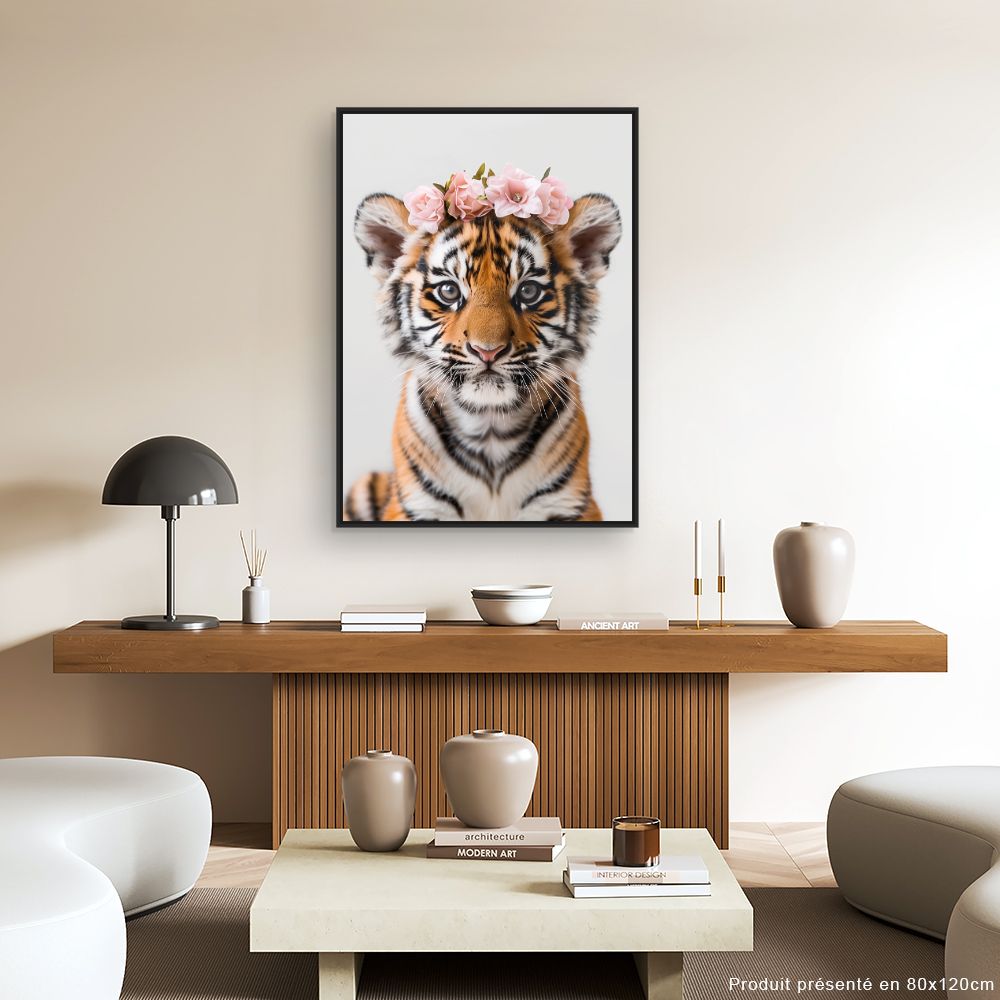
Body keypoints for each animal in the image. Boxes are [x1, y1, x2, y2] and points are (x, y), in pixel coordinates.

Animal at [343, 189, 622, 522]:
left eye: (528, 292)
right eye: (449, 291)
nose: (487, 350)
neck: (490, 429)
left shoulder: (568, 505)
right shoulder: (416, 506)